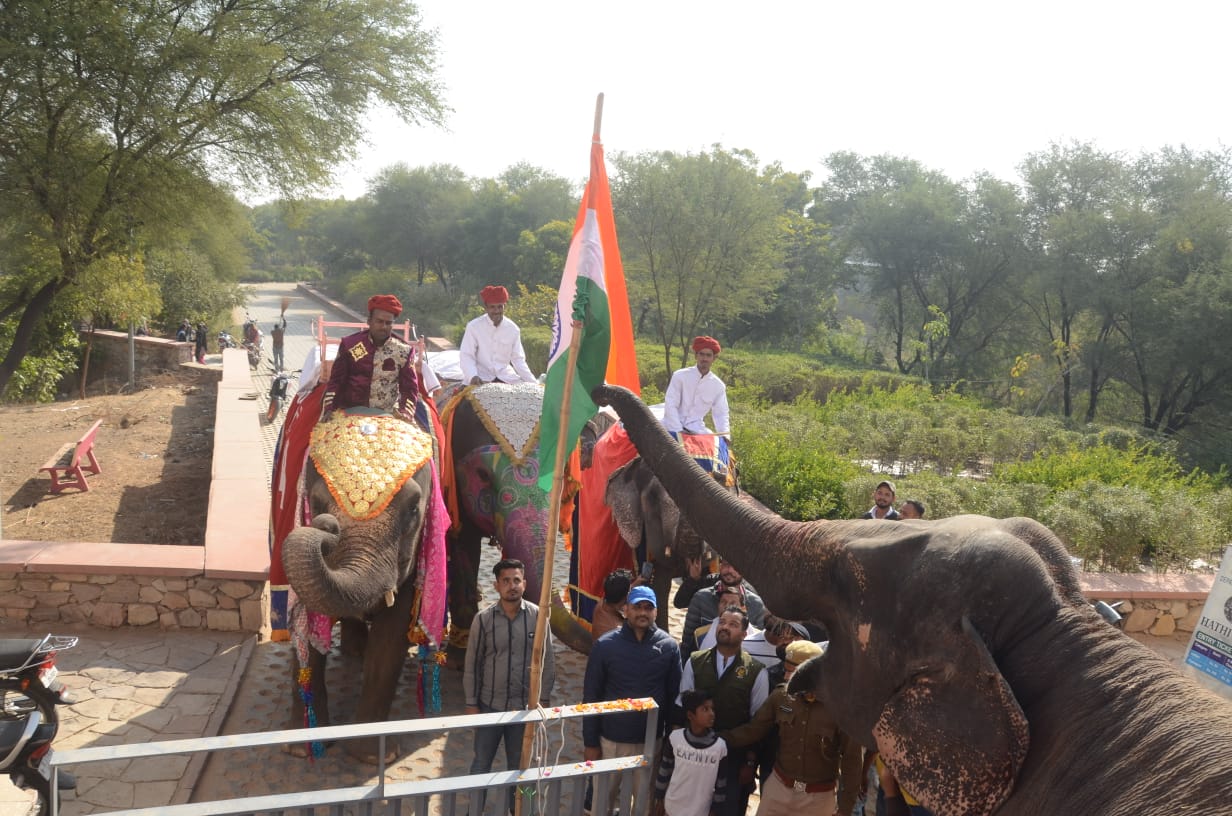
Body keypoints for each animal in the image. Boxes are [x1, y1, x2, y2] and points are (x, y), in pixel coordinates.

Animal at [279, 411, 448, 764]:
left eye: (414, 509)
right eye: (316, 503)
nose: (327, 527)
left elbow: (393, 631)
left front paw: (373, 757)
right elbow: (304, 619)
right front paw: (301, 749)